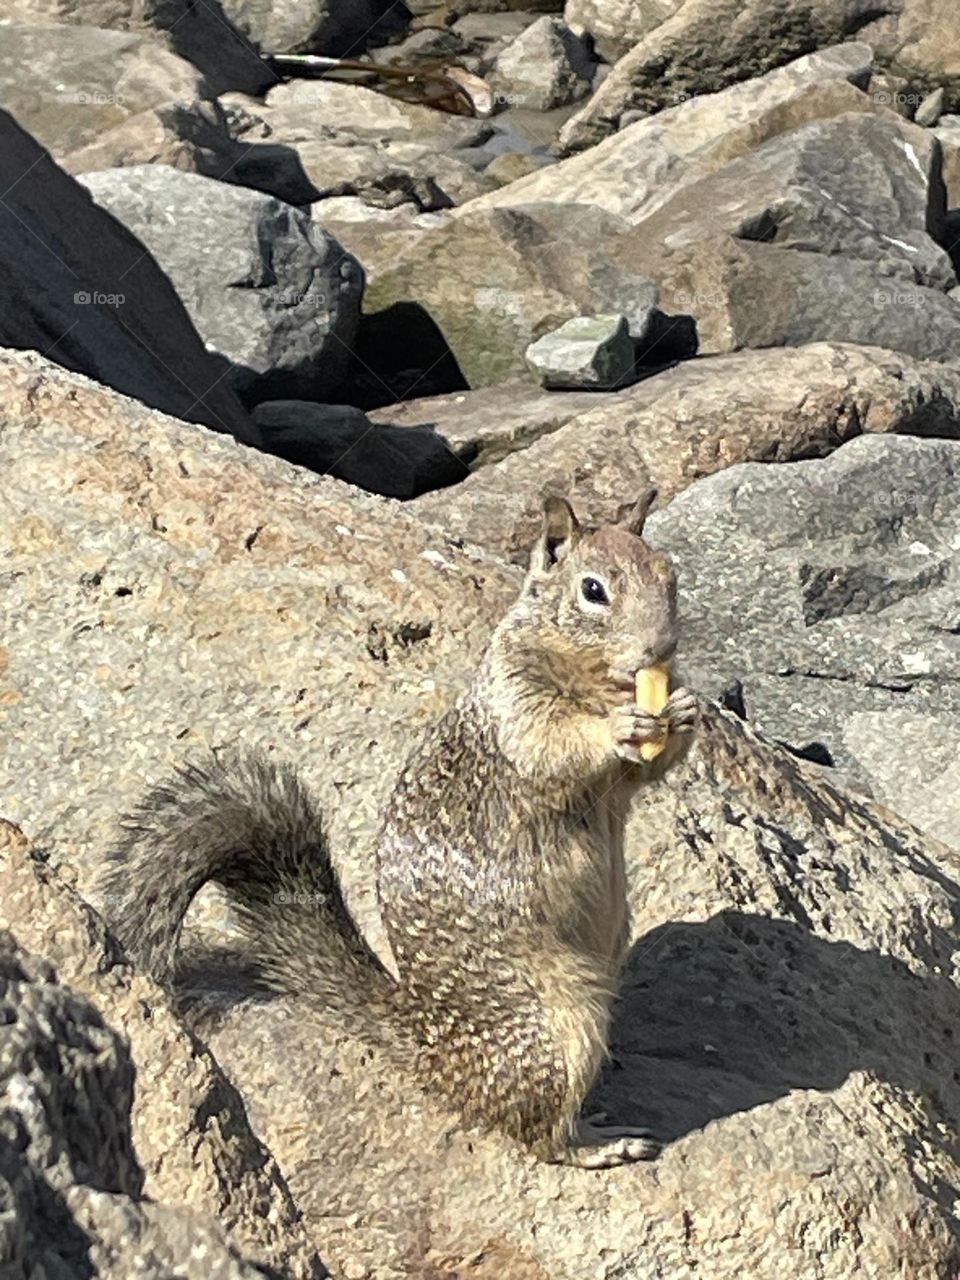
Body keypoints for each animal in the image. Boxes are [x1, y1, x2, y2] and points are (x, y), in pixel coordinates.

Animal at [98, 491, 697, 1169]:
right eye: (594, 590)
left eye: (670, 575)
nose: (661, 648)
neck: (597, 681)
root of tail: (431, 1049)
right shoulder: (517, 706)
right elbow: (557, 747)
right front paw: (623, 724)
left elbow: (643, 774)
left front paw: (682, 709)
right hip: (559, 1026)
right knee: (533, 1133)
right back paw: (599, 1142)